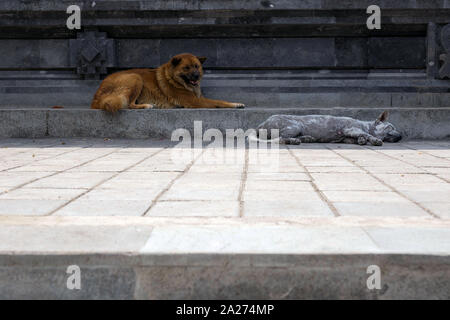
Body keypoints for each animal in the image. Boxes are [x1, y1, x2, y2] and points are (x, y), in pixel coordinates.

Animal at [90, 53, 244, 112]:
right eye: (186, 68)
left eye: (196, 66)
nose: (196, 76)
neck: (174, 79)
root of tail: (96, 99)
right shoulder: (195, 101)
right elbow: (218, 102)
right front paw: (234, 104)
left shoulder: (197, 98)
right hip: (135, 77)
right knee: (128, 104)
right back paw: (146, 105)